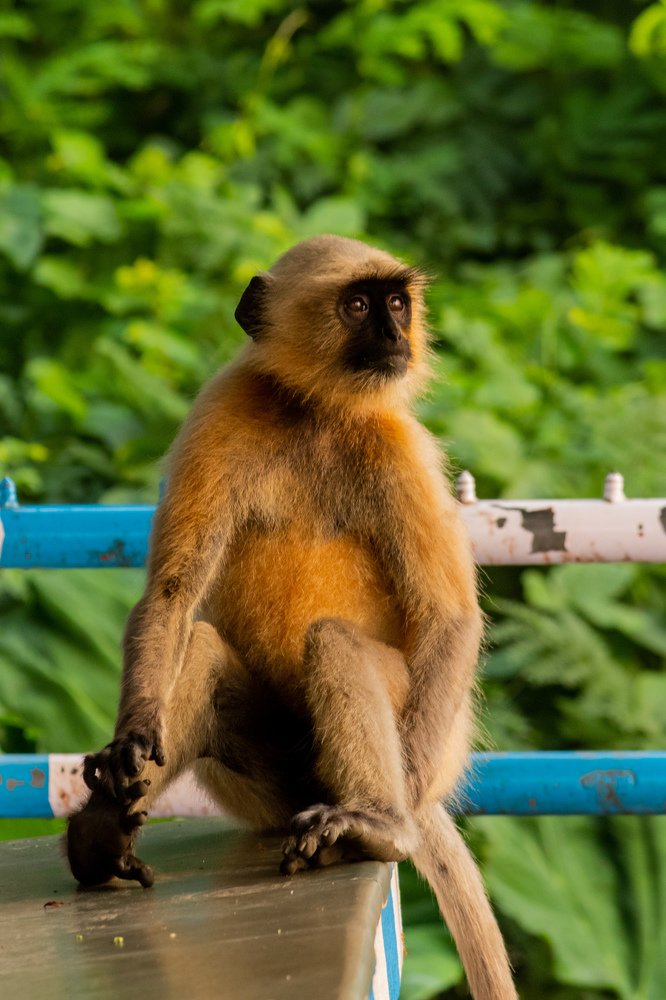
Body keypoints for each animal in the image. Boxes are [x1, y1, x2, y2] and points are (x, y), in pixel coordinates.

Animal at [67, 235, 517, 1000]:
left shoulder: (400, 443)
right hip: (270, 787)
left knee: (335, 642)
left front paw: (395, 829)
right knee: (203, 646)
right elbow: (171, 594)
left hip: (418, 734)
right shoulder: (224, 406)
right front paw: (130, 739)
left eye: (396, 303)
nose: (394, 336)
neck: (316, 412)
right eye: (359, 305)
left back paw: (382, 826)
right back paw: (102, 839)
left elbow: (449, 618)